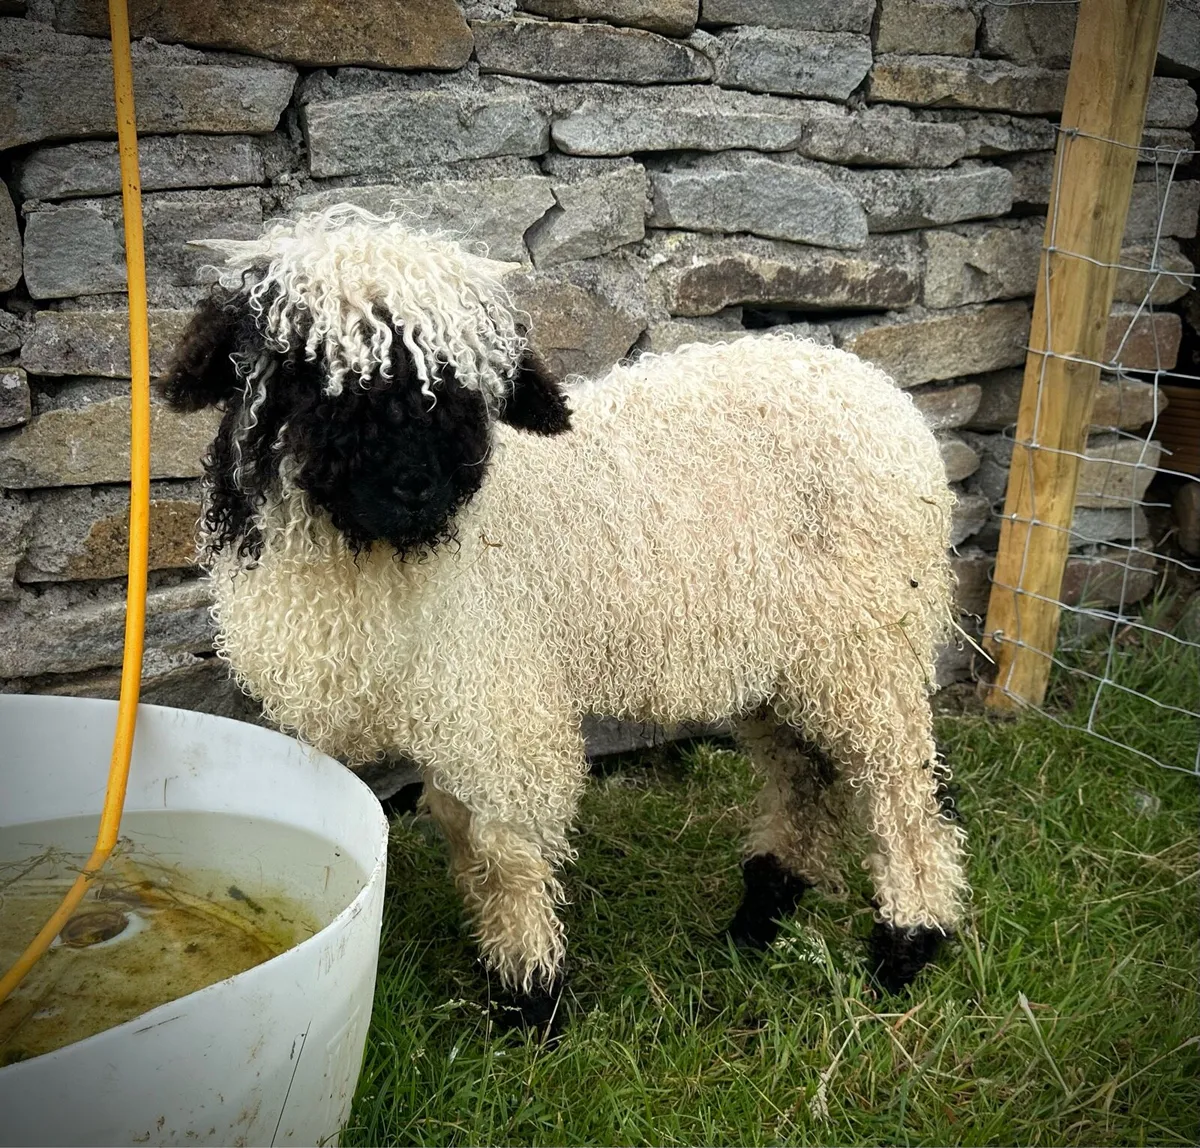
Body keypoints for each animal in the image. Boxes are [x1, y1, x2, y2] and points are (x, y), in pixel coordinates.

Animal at [163, 205, 969, 1031]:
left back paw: (908, 942)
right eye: (303, 369)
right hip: (783, 651)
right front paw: (508, 972)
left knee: (901, 788)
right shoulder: (443, 701)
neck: (377, 559)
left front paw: (529, 997)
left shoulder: (499, 705)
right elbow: (458, 828)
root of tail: (874, 389)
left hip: (867, 636)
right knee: (803, 771)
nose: (417, 486)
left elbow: (505, 852)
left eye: (466, 383)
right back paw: (762, 912)